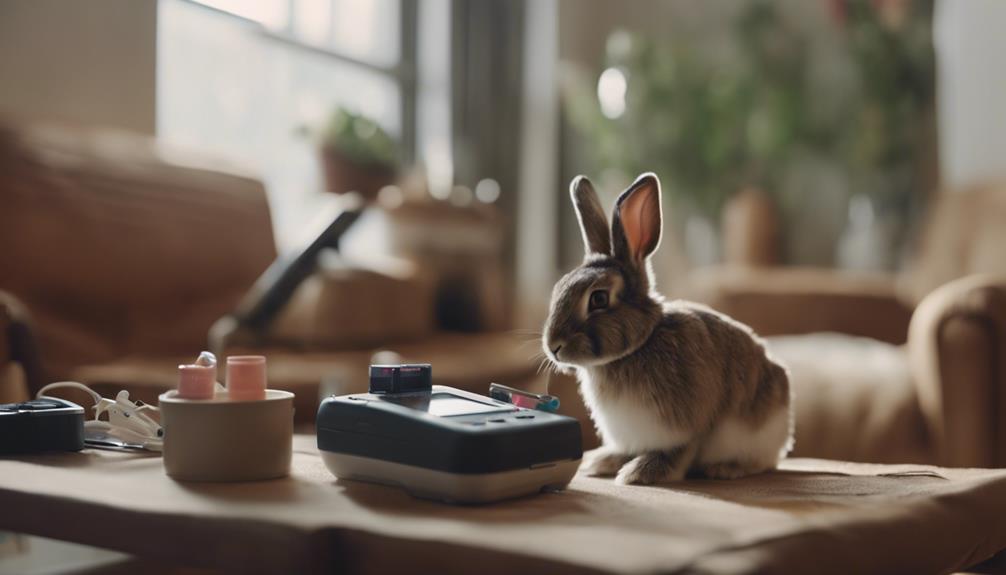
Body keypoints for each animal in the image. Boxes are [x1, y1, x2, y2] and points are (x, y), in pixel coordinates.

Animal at [542, 172, 793, 485]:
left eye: (598, 299)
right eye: (559, 288)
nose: (553, 346)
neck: (639, 344)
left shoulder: (690, 425)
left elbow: (681, 451)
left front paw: (639, 473)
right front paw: (603, 462)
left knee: (762, 462)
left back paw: (726, 468)